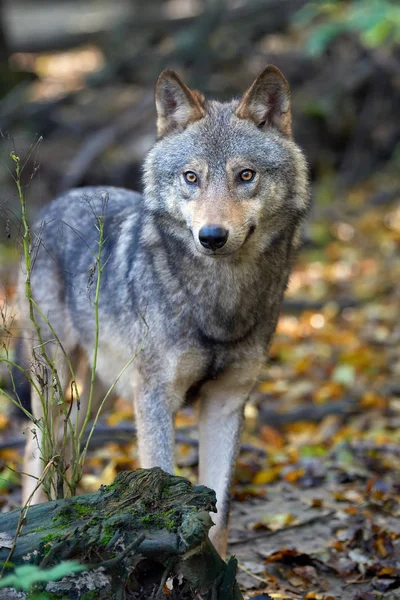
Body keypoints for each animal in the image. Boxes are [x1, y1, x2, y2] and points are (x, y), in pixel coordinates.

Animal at [18, 63, 310, 556]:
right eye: (191, 177)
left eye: (245, 175)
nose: (212, 236)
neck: (218, 300)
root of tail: (55, 203)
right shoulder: (155, 398)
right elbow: (164, 480)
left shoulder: (226, 403)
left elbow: (221, 513)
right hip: (56, 383)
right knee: (36, 446)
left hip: (98, 393)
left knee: (69, 446)